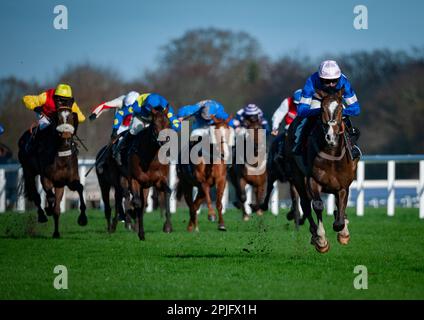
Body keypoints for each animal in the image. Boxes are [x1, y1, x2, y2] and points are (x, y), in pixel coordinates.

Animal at [18, 106, 87, 236]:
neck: (62, 156)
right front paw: (48, 209)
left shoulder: (69, 180)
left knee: (57, 207)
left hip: (59, 184)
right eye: (58, 118)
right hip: (28, 171)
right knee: (36, 195)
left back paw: (56, 232)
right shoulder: (46, 178)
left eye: (71, 118)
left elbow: (80, 188)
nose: (66, 135)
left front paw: (83, 218)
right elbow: (50, 197)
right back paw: (42, 215)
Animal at [127, 107, 172, 240]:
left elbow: (167, 192)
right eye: (155, 124)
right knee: (139, 203)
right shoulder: (134, 180)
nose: (163, 142)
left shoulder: (160, 180)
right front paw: (140, 233)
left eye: (168, 123)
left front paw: (167, 226)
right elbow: (137, 203)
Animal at [286, 89, 360, 254]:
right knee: (306, 205)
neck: (332, 154)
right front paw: (321, 240)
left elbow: (341, 210)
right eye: (321, 109)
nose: (330, 137)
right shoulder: (313, 181)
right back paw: (314, 234)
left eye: (340, 109)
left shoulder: (343, 186)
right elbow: (318, 206)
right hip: (297, 176)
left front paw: (343, 232)